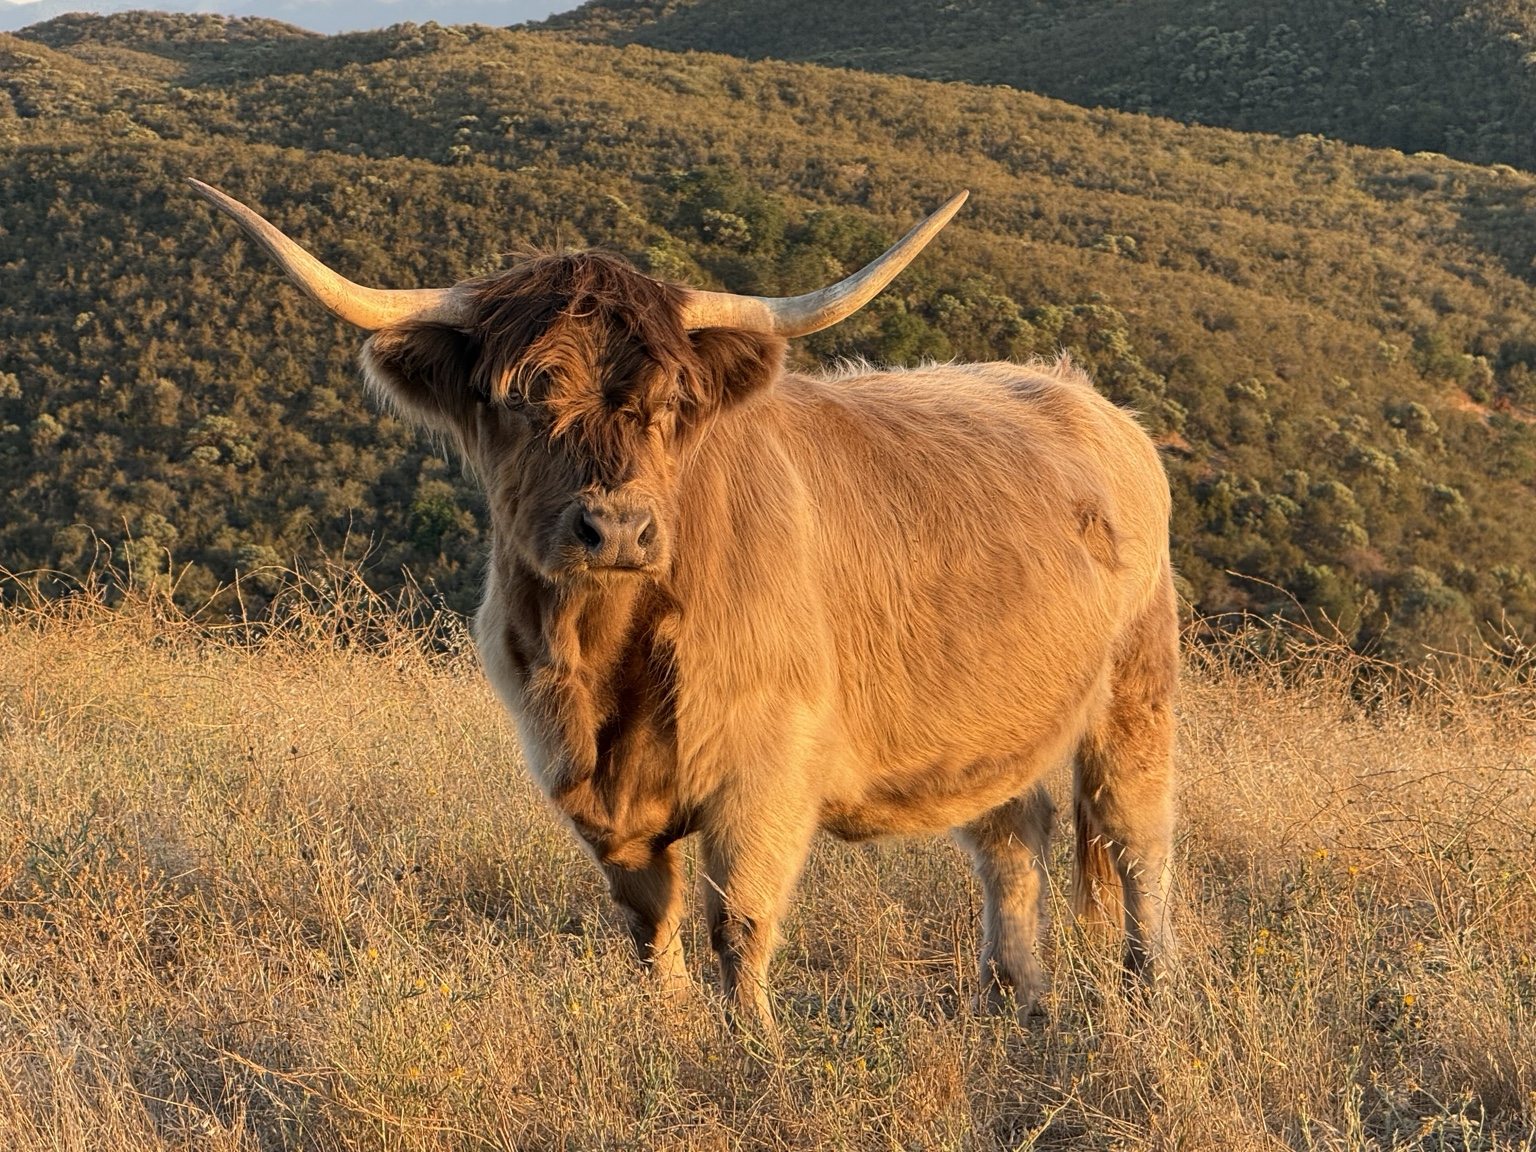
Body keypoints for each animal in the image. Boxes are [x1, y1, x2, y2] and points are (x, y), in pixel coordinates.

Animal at [190, 180, 1179, 1034]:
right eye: (519, 399)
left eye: (672, 401)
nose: (618, 529)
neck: (604, 661)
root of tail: (1082, 393)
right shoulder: (587, 787)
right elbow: (647, 925)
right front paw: (669, 1024)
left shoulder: (767, 769)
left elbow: (738, 921)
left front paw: (755, 1051)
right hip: (995, 722)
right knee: (1013, 842)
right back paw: (1017, 1002)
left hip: (1138, 690)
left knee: (1138, 842)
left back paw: (1147, 998)